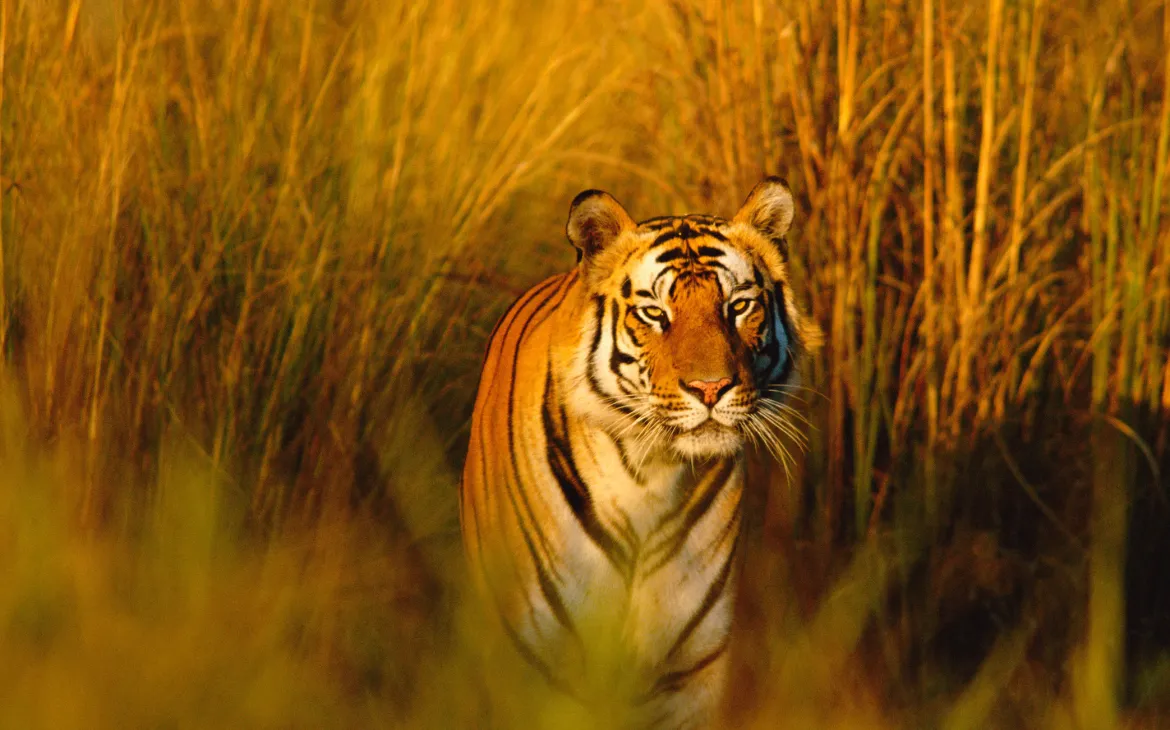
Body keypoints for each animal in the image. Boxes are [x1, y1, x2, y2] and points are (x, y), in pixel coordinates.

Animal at [460, 178, 823, 729]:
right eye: (655, 313)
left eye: (738, 307)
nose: (711, 388)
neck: (650, 476)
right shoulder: (535, 666)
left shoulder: (688, 675)